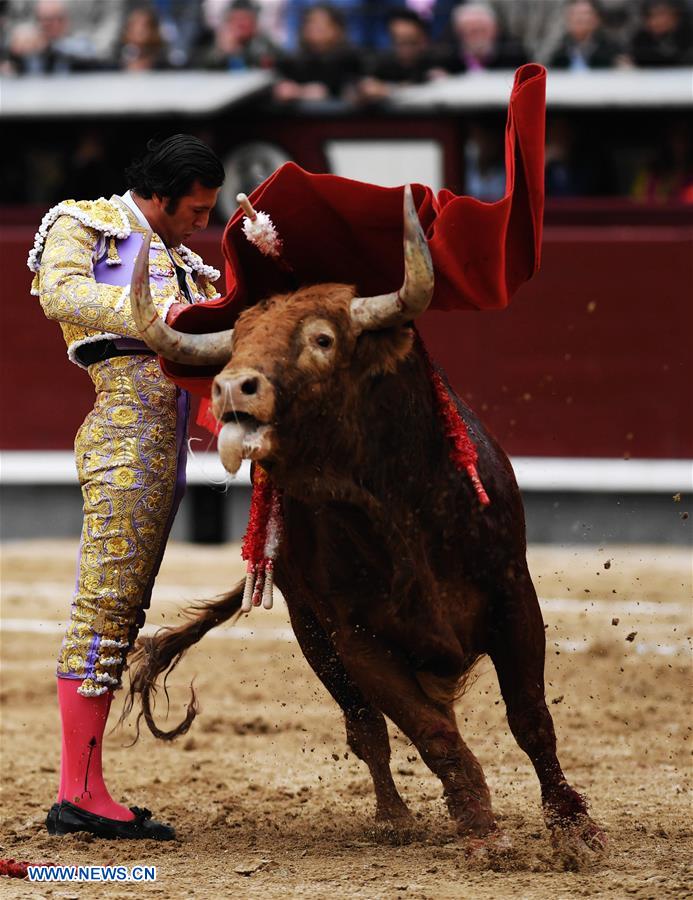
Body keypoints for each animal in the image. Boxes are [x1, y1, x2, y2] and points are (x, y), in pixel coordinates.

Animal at [127, 188, 604, 852]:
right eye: (237, 340)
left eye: (323, 339)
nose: (229, 388)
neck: (399, 509)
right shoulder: (354, 637)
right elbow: (430, 733)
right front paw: (479, 827)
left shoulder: (513, 592)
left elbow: (531, 717)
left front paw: (574, 828)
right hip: (311, 634)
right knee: (367, 728)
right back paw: (395, 819)